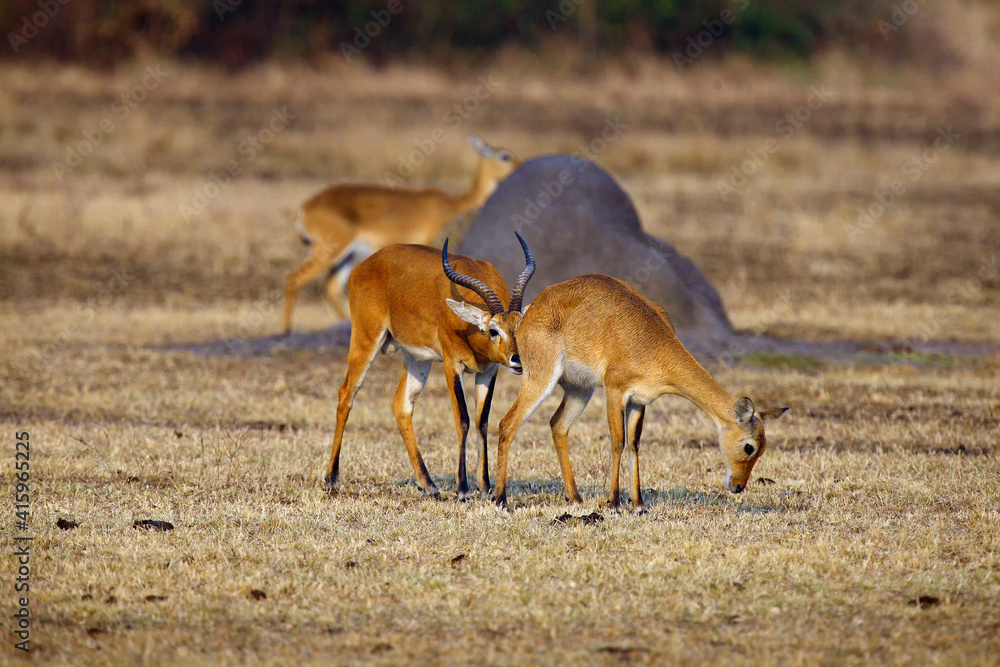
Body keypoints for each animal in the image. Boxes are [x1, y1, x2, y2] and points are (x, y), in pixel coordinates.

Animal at [280, 134, 520, 334]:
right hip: (329, 250)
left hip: (345, 255)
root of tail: (306, 207)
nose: (519, 167)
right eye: (505, 156)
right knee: (295, 278)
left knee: (330, 286)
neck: (450, 205)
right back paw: (286, 330)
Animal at [324, 232, 536, 498]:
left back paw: (429, 484)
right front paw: (463, 490)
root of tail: (363, 266)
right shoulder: (451, 364)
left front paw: (486, 487)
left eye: (519, 326)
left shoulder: (488, 370)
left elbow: (483, 422)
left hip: (417, 359)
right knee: (346, 395)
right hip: (366, 341)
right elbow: (463, 420)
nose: (518, 359)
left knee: (401, 406)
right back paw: (331, 479)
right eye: (493, 330)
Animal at [492, 274, 788, 516]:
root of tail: (529, 311)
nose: (738, 486)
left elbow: (634, 444)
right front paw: (614, 504)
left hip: (580, 389)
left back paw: (575, 498)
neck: (652, 342)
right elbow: (617, 442)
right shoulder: (615, 391)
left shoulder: (639, 400)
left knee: (557, 425)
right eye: (749, 446)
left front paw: (639, 504)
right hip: (540, 379)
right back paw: (500, 500)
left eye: (763, 448)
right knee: (507, 424)